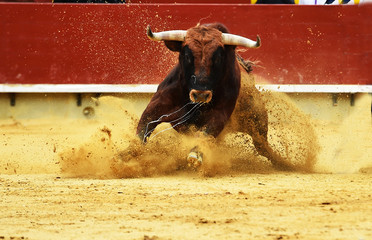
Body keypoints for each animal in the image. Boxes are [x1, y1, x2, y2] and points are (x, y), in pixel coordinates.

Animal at [137, 21, 294, 170]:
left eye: (218, 58)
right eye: (187, 56)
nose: (200, 95)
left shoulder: (219, 115)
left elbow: (205, 134)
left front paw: (195, 155)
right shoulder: (157, 107)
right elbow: (142, 128)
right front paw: (132, 153)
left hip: (257, 120)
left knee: (262, 146)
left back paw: (285, 164)